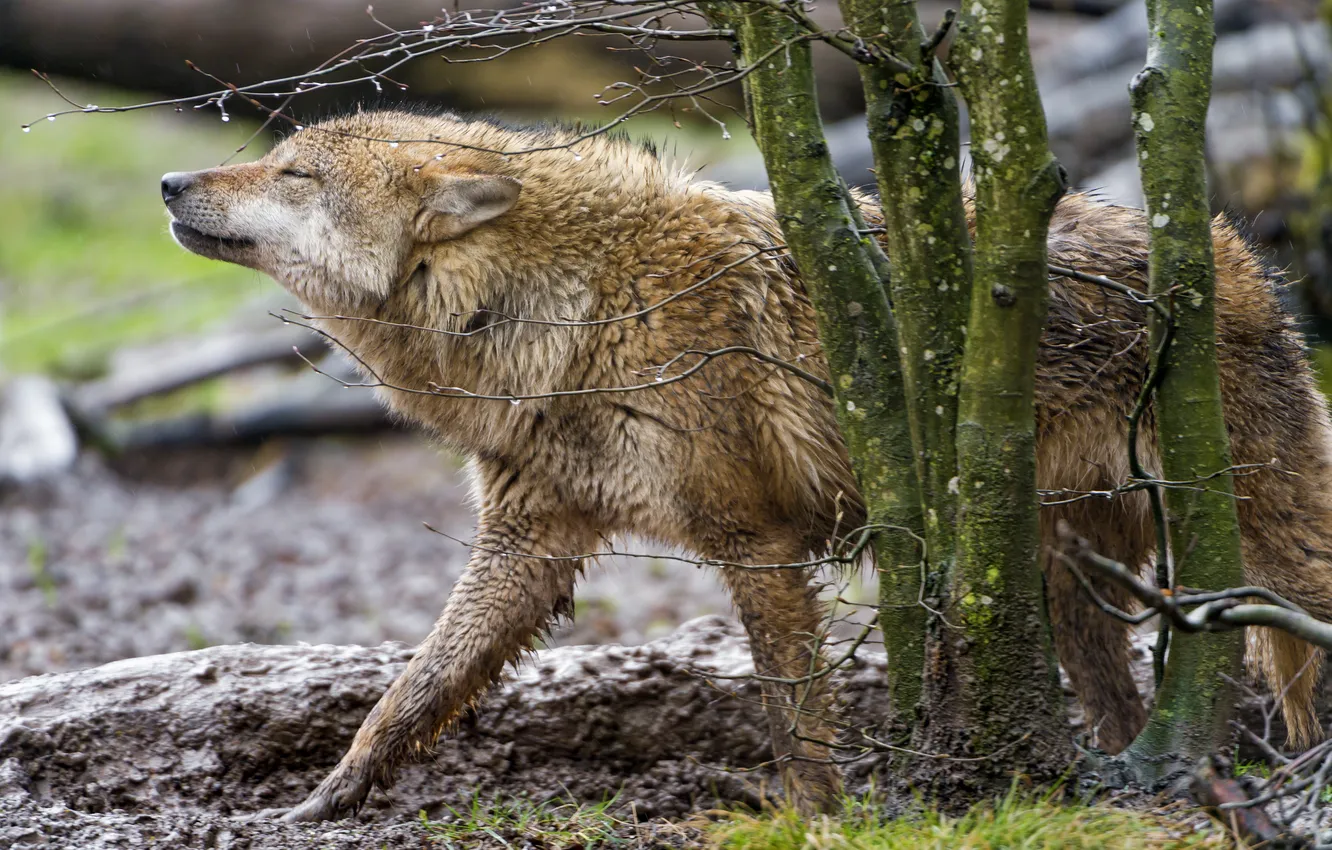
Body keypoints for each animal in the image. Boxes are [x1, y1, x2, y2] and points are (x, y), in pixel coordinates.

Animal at [162, 109, 1332, 820]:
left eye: (294, 172)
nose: (170, 179)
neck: (568, 310)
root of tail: (1228, 250)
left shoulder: (756, 543)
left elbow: (791, 716)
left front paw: (824, 822)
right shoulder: (527, 544)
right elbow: (408, 695)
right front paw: (322, 801)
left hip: (1256, 551)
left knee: (1296, 656)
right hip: (1056, 576)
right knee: (1133, 708)